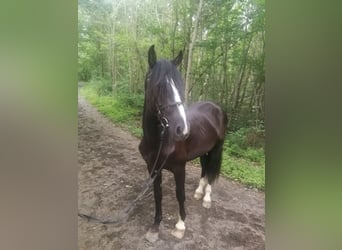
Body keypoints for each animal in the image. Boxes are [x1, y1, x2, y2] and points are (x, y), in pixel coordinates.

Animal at [139, 45, 227, 242]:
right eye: (159, 86)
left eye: (180, 85)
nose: (183, 129)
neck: (159, 140)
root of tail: (216, 107)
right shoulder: (153, 168)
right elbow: (158, 195)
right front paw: (155, 227)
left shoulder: (179, 168)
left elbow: (180, 195)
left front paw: (180, 226)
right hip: (204, 150)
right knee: (205, 167)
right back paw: (199, 192)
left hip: (217, 149)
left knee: (212, 170)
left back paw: (207, 198)